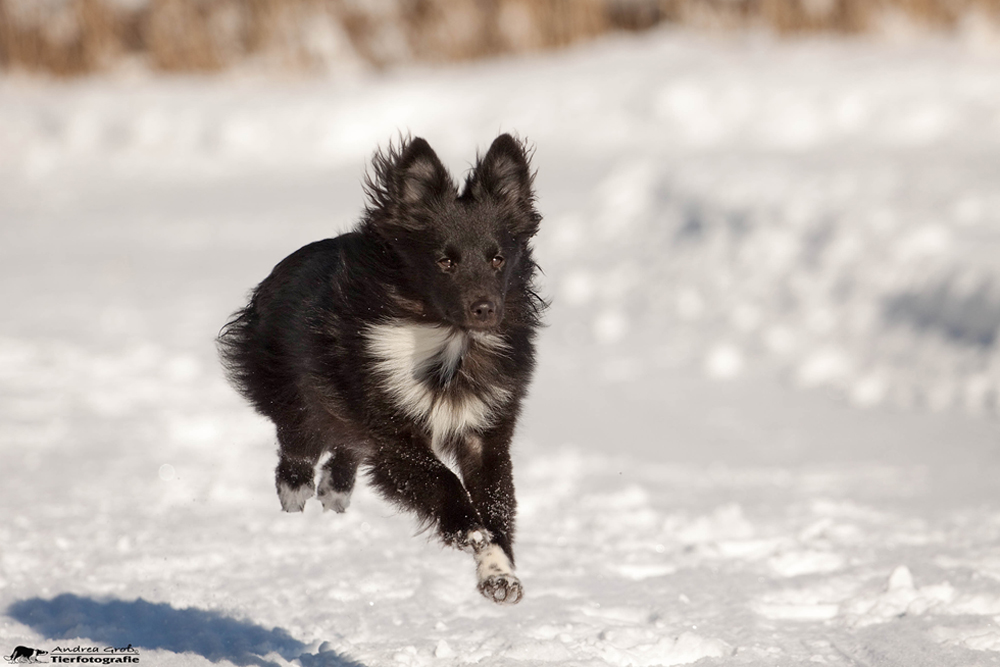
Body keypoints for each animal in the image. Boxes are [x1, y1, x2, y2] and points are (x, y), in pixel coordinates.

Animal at [219, 133, 544, 604]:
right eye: (445, 261)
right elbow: (443, 481)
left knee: (345, 447)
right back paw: (295, 489)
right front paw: (468, 530)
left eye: (498, 259)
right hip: (297, 383)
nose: (485, 309)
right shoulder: (392, 431)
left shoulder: (486, 429)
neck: (449, 341)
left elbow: (498, 503)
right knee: (298, 435)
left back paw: (335, 490)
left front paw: (499, 575)